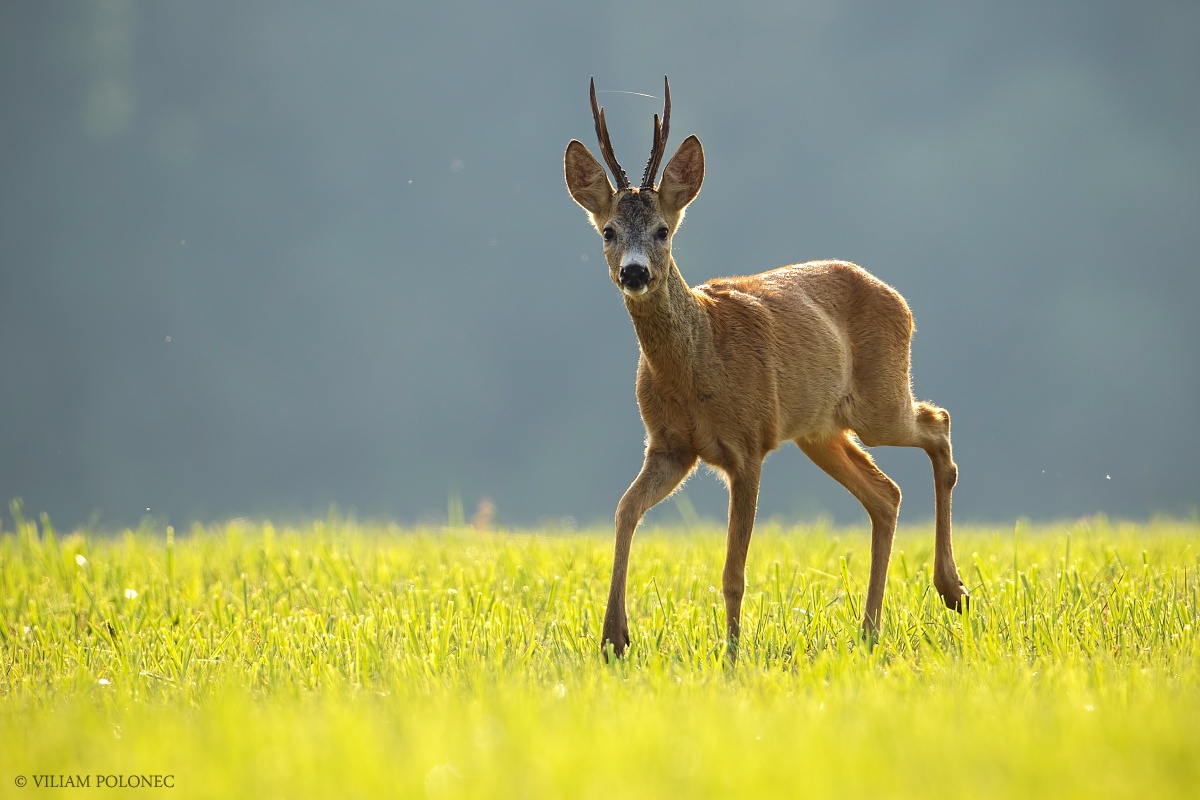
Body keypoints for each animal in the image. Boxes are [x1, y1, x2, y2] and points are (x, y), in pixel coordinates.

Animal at [561, 76, 964, 662]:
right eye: (609, 231)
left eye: (662, 230)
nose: (634, 273)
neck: (697, 363)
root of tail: (901, 302)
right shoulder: (670, 446)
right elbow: (624, 511)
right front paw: (615, 637)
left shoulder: (747, 445)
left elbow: (734, 572)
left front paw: (731, 655)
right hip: (820, 430)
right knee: (885, 494)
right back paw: (870, 630)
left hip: (878, 400)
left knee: (938, 424)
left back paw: (951, 589)